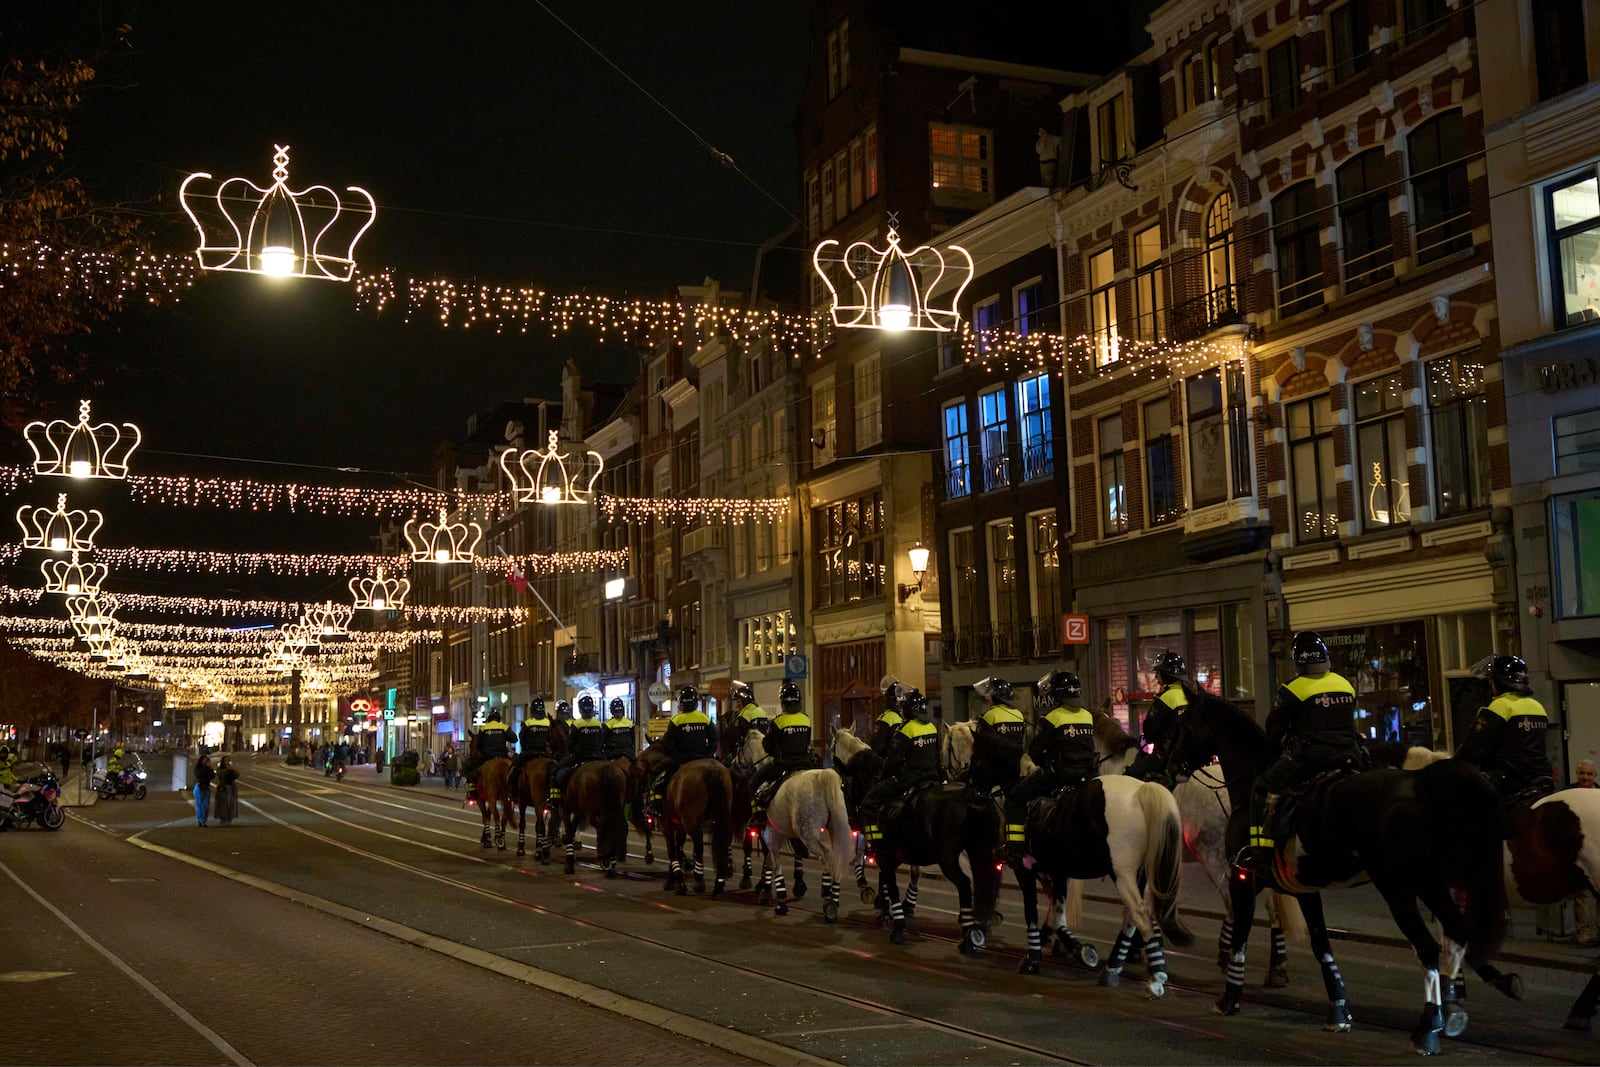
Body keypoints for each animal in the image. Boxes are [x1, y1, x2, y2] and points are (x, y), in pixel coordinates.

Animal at [825, 726, 998, 953]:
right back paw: (977, 926)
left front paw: (893, 919)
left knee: (965, 884)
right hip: (977, 853)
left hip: (948, 859)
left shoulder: (884, 853)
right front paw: (888, 909)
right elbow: (894, 879)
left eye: (844, 785)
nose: (852, 819)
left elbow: (890, 883)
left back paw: (969, 936)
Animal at [1158, 687, 1504, 1055]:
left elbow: (1240, 935)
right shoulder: (1303, 887)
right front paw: (1338, 1011)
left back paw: (1429, 1027)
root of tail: (1420, 783)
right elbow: (1321, 945)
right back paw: (1469, 1000)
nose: (1170, 766)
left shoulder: (1242, 878)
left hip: (1398, 888)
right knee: (1457, 931)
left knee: (1427, 947)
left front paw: (1229, 997)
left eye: (1185, 723)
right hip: (1429, 882)